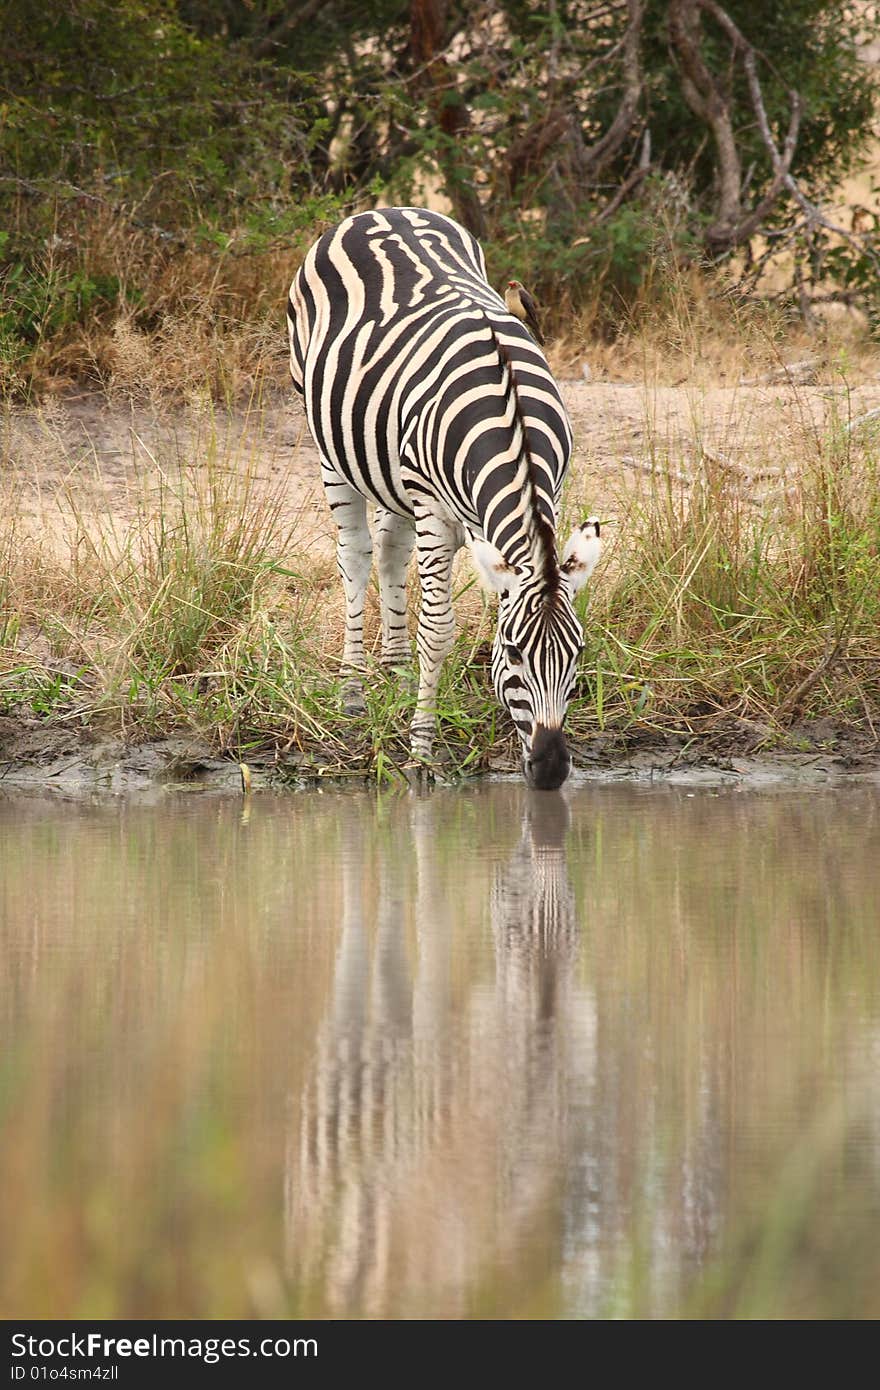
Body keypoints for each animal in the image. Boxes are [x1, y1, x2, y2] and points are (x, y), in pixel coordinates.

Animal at [284, 207, 600, 795]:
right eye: (514, 653)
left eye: (578, 654)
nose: (549, 771)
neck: (513, 426)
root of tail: (382, 210)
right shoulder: (433, 509)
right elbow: (438, 629)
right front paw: (420, 756)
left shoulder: (543, 498)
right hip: (330, 448)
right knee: (356, 557)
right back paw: (352, 694)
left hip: (391, 472)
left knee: (389, 552)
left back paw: (397, 673)